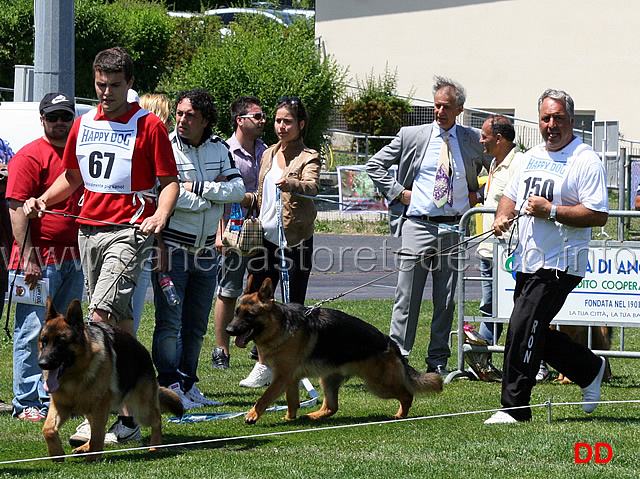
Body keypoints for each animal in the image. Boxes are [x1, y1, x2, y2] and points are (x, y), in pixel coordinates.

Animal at [38, 300, 182, 462]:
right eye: (44, 341)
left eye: (61, 343)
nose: (42, 363)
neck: (75, 375)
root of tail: (142, 349)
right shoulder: (60, 405)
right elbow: (48, 429)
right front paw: (57, 453)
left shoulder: (100, 406)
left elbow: (97, 434)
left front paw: (93, 458)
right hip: (91, 408)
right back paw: (84, 447)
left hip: (143, 409)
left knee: (157, 419)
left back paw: (155, 447)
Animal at [225, 276, 440, 426]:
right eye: (236, 312)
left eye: (249, 315)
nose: (228, 330)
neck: (280, 325)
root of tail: (390, 343)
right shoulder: (290, 379)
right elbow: (292, 402)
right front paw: (289, 419)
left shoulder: (282, 378)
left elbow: (264, 398)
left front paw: (252, 415)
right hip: (328, 379)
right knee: (331, 407)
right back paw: (312, 416)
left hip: (379, 384)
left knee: (407, 394)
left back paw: (400, 415)